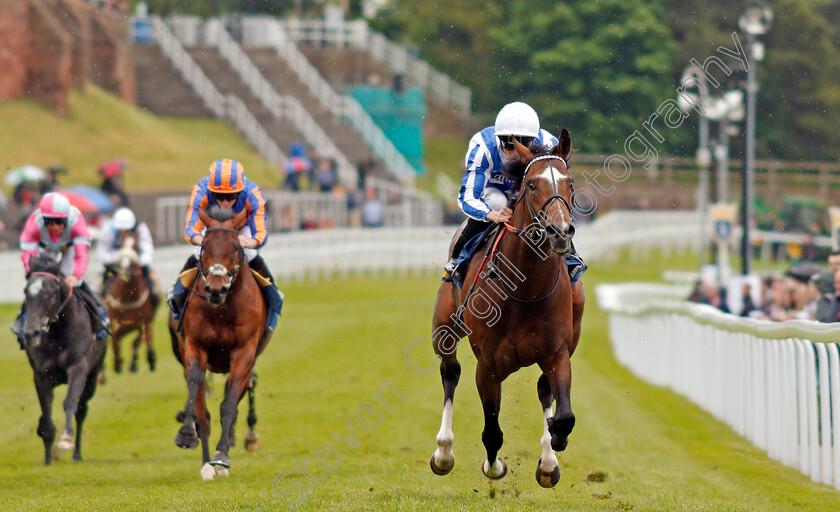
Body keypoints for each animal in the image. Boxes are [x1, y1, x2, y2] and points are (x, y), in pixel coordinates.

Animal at [104, 235, 159, 372]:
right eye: (120, 245)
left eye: (135, 247)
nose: (125, 271)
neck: (127, 297)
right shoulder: (115, 322)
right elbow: (115, 340)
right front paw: (117, 362)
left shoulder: (142, 320)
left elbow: (138, 340)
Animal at [172, 206, 270, 478]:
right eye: (204, 246)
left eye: (235, 247)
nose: (216, 289)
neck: (222, 310)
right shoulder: (194, 347)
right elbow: (197, 390)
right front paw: (187, 435)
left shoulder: (244, 353)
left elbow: (229, 406)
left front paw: (222, 456)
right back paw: (207, 463)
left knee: (238, 394)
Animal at [430, 132, 588, 488]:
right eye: (531, 184)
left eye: (570, 182)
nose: (560, 231)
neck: (526, 289)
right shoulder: (488, 365)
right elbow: (492, 431)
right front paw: (494, 467)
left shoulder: (558, 352)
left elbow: (565, 415)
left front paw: (553, 447)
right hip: (444, 327)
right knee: (450, 372)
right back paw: (444, 452)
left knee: (544, 389)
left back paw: (548, 461)